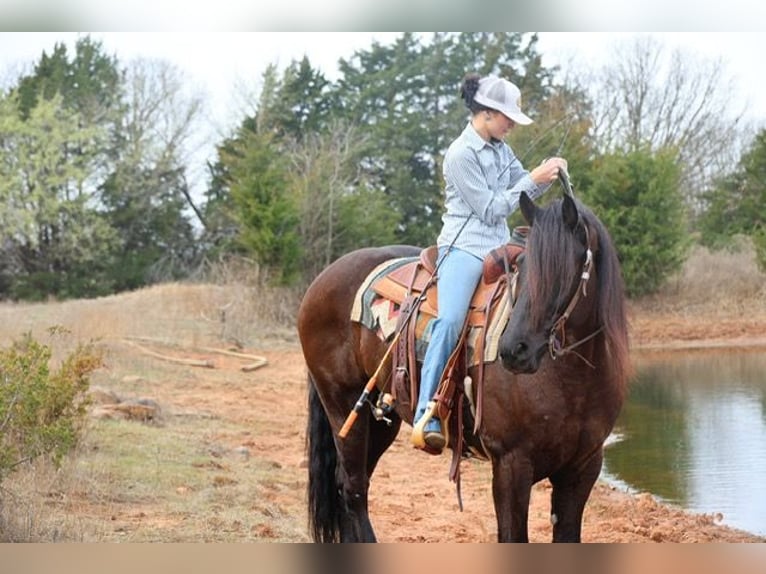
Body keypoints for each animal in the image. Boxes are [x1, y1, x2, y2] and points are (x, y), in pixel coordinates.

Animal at [298, 187, 630, 542]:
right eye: (522, 266)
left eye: (563, 268)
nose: (513, 349)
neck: (571, 381)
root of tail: (323, 279)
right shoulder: (511, 465)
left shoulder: (583, 468)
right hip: (343, 407)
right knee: (353, 488)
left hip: (381, 417)